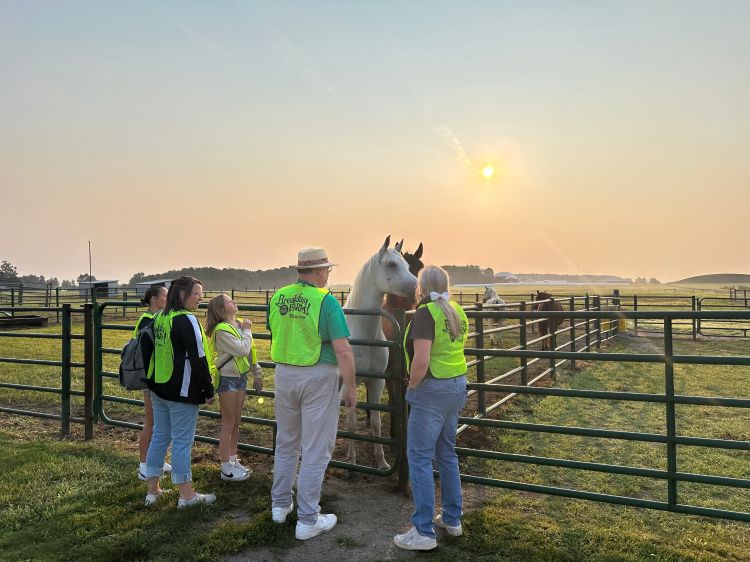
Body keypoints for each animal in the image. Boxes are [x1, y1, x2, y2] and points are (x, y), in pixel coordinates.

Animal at [341, 235, 418, 470]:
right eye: (392, 264)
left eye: (407, 265)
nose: (415, 288)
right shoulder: (349, 384)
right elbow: (351, 424)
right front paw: (351, 461)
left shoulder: (377, 382)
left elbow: (376, 423)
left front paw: (382, 461)